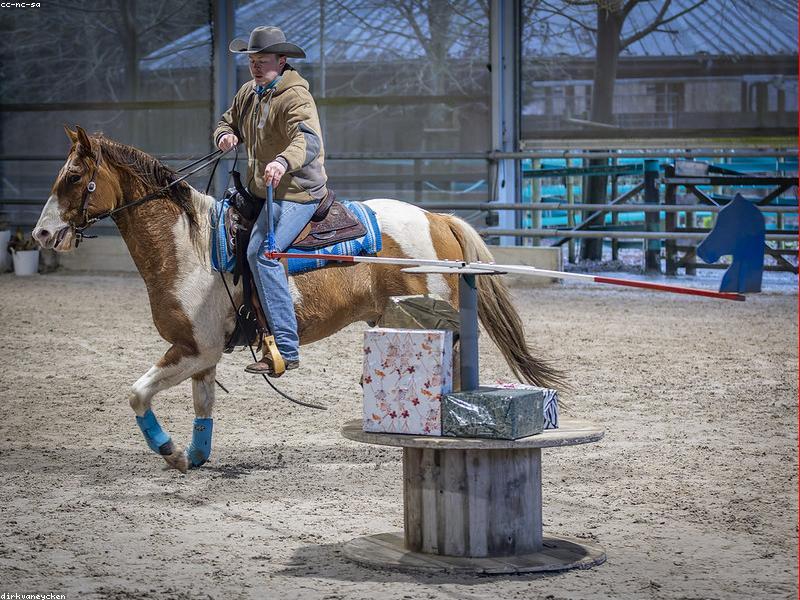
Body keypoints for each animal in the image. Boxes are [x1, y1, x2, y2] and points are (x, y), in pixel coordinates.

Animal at [33, 126, 564, 473]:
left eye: (75, 176)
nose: (41, 234)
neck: (190, 245)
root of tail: (438, 219)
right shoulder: (202, 355)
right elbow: (203, 408)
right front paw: (195, 456)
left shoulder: (192, 349)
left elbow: (137, 393)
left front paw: (169, 451)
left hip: (430, 322)